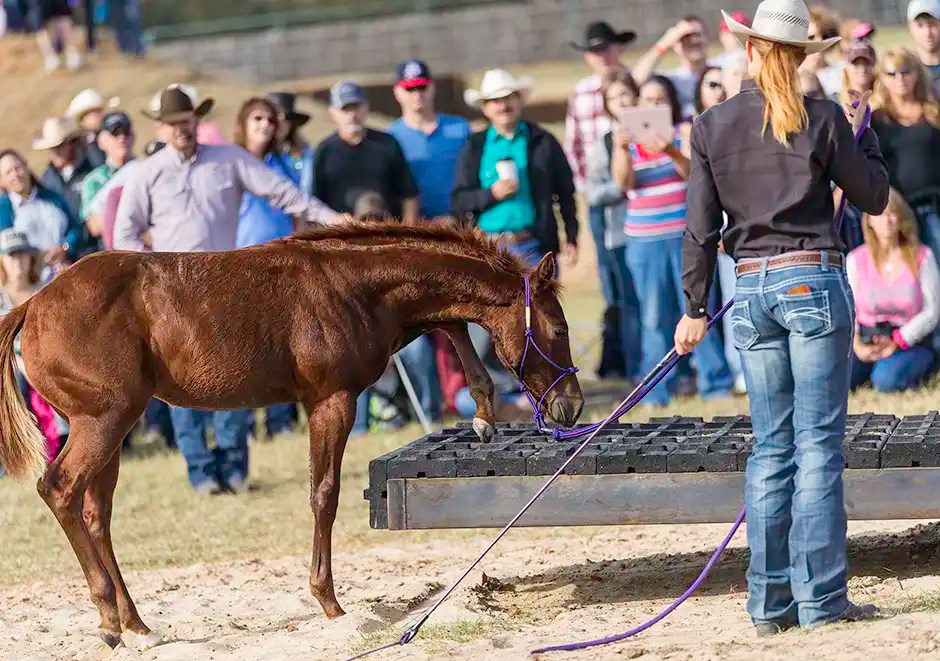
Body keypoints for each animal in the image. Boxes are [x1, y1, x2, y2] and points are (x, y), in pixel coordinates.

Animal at [0, 221, 584, 649]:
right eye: (560, 329)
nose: (571, 405)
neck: (354, 286)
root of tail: (33, 306)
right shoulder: (330, 401)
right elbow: (324, 494)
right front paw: (329, 603)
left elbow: (453, 323)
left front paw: (483, 413)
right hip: (105, 421)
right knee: (60, 490)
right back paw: (108, 621)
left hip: (113, 425)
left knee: (96, 512)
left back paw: (137, 624)